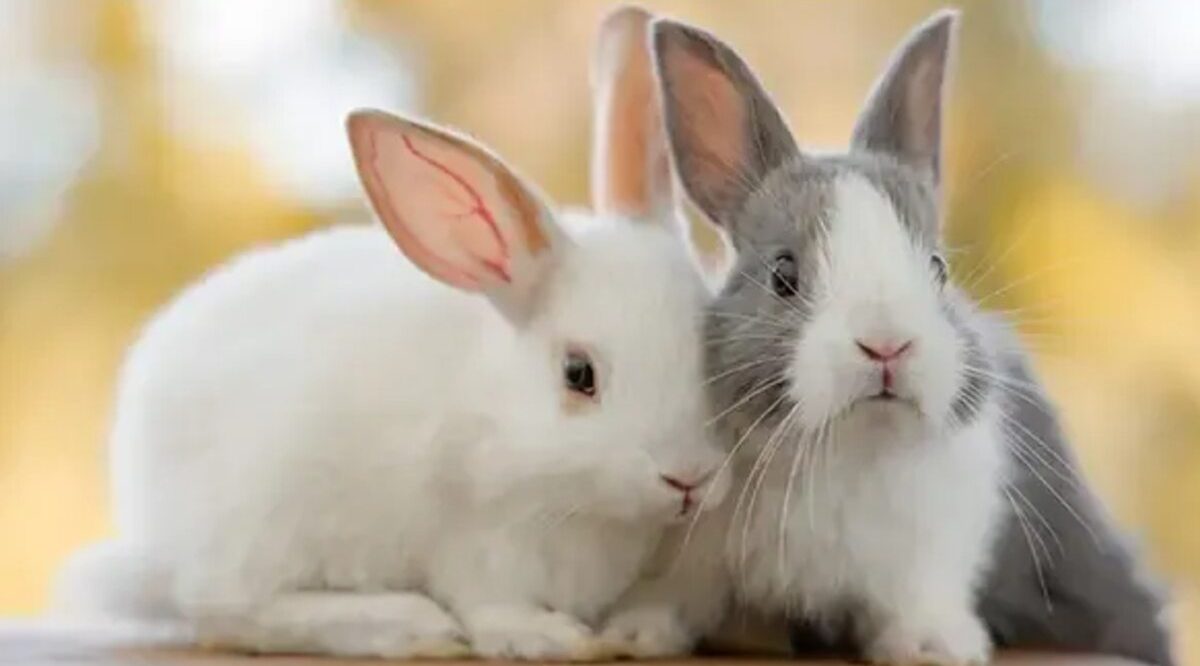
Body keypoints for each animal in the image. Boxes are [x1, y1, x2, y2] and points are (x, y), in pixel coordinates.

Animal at [52, 8, 732, 660]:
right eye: (578, 374)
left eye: (711, 344)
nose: (689, 478)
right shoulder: (479, 543)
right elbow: (491, 605)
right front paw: (548, 638)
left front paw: (639, 634)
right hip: (259, 523)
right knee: (228, 610)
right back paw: (405, 623)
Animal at [599, 9, 1173, 666]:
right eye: (784, 274)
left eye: (937, 268)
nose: (887, 345)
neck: (847, 449)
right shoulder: (693, 545)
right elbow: (677, 594)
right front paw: (633, 634)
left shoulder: (940, 538)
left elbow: (920, 593)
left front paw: (933, 645)